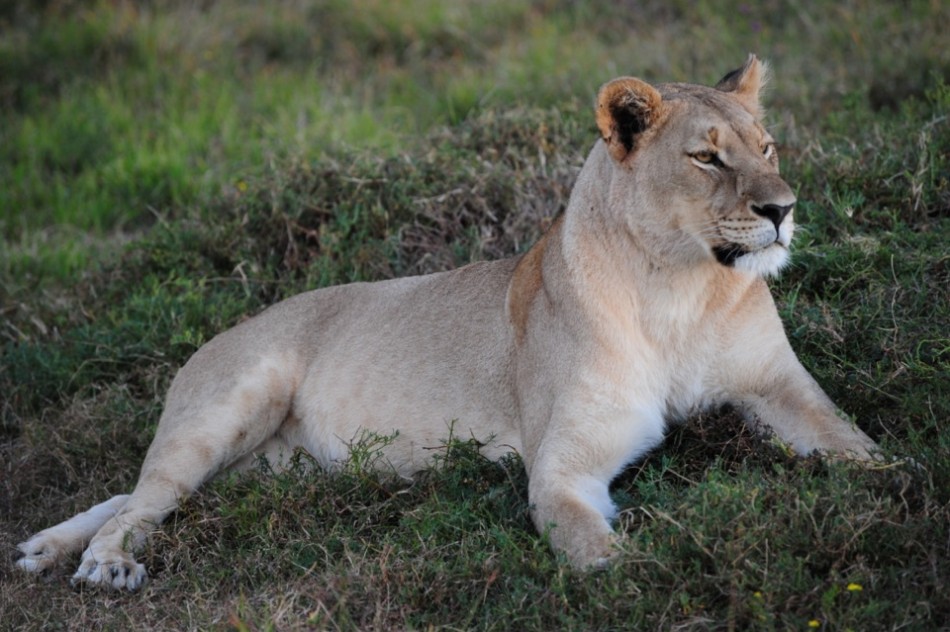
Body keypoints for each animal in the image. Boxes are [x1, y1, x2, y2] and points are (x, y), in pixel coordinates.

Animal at [16, 55, 879, 590]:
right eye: (707, 158)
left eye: (768, 146)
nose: (783, 210)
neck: (682, 290)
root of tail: (211, 340)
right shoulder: (561, 466)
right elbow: (600, 554)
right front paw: (650, 578)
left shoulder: (781, 390)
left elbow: (862, 452)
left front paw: (896, 494)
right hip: (229, 407)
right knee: (144, 497)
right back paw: (99, 562)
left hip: (259, 465)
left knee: (134, 492)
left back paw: (44, 546)